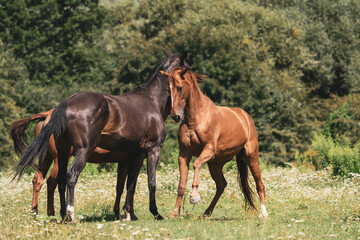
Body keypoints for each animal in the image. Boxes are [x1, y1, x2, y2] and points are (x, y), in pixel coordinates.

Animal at [10, 109, 138, 220]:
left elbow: (120, 186)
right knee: (52, 181)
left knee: (38, 180)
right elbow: (130, 185)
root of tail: (47, 115)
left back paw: (35, 213)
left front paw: (118, 214)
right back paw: (56, 214)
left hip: (46, 157)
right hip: (60, 158)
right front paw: (129, 214)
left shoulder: (124, 161)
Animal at [160, 67, 268, 218]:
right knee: (221, 185)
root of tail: (246, 117)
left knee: (259, 184)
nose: (175, 116)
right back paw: (207, 212)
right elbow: (181, 184)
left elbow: (196, 164)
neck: (197, 118)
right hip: (215, 164)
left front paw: (194, 196)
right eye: (167, 89)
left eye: (179, 87)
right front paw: (174, 213)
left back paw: (263, 213)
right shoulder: (184, 155)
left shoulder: (208, 149)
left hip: (251, 158)